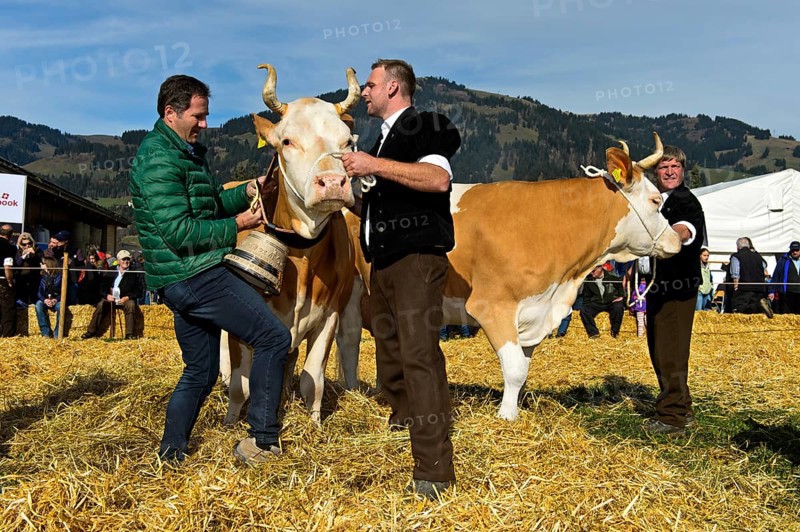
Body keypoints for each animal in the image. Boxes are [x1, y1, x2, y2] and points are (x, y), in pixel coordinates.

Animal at [219, 64, 363, 425]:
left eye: (347, 142)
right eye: (286, 140)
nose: (332, 183)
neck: (303, 253)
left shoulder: (329, 315)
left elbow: (313, 380)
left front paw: (314, 425)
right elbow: (242, 385)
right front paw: (230, 423)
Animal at [336, 133, 683, 421]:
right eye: (655, 201)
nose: (678, 240)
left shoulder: (535, 310)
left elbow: (523, 367)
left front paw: (513, 407)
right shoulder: (492, 305)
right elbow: (514, 368)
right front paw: (506, 416)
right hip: (352, 292)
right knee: (349, 339)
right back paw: (353, 389)